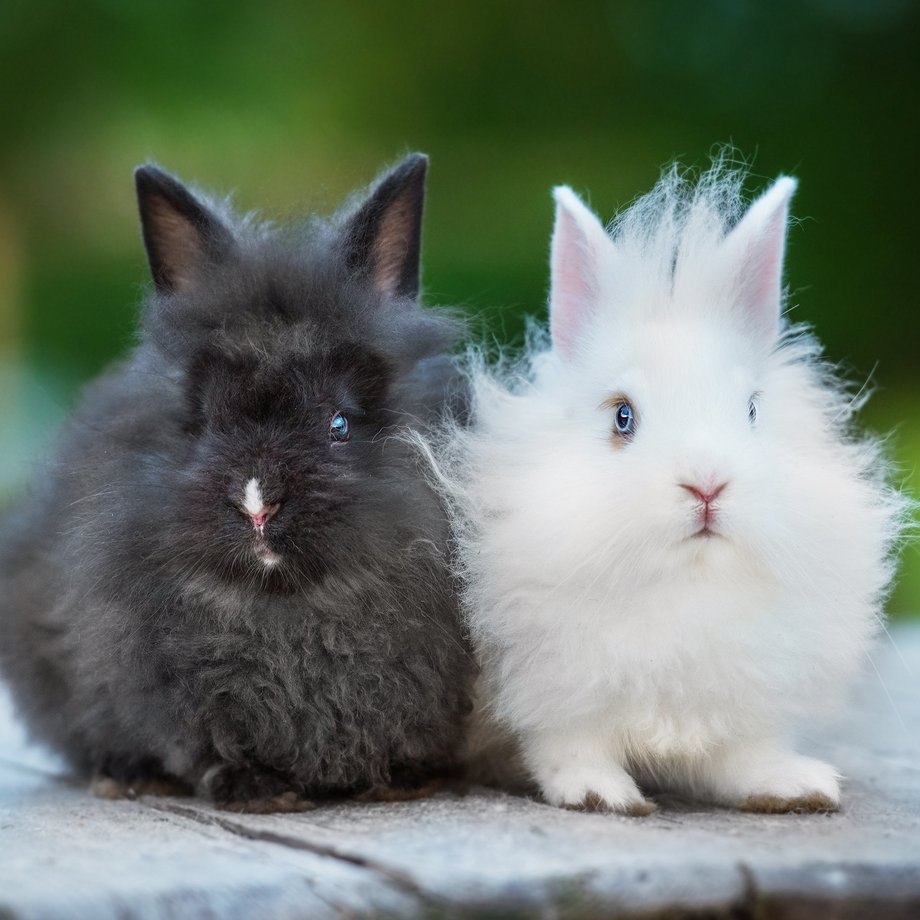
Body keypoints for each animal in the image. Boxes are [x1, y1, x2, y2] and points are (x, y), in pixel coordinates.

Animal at [0, 154, 474, 811]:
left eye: (339, 423)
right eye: (204, 422)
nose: (257, 505)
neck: (287, 608)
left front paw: (402, 781)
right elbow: (205, 741)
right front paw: (258, 791)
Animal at [435, 162, 907, 815]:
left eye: (752, 409)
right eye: (622, 417)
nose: (706, 485)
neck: (687, 586)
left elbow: (743, 756)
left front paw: (796, 786)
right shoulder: (555, 685)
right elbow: (566, 745)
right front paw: (601, 795)